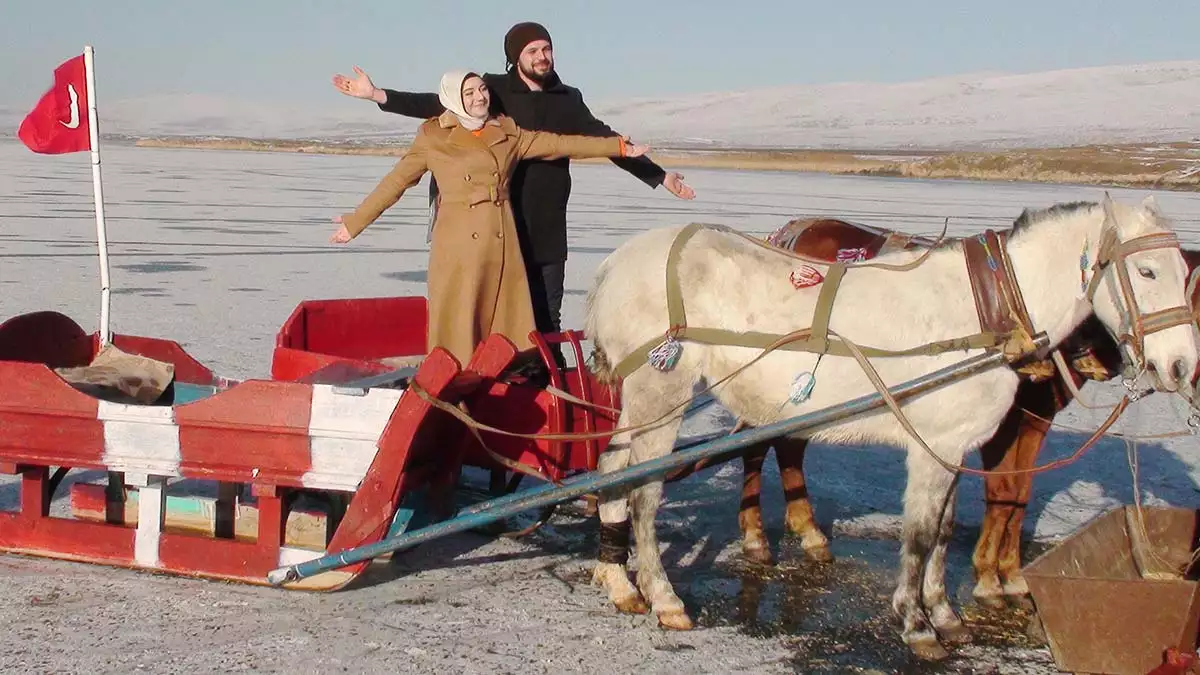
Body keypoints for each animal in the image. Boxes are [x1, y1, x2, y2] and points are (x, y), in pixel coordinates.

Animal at [578, 193, 1190, 658]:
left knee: (610, 470)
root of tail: (615, 263)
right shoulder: (933, 445)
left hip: (641, 401)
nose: (1182, 367)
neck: (984, 312)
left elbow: (942, 533)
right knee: (644, 493)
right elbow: (919, 537)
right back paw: (664, 598)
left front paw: (945, 615)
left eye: (1186, 274)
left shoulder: (953, 445)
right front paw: (918, 626)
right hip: (662, 392)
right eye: (1146, 270)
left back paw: (617, 580)